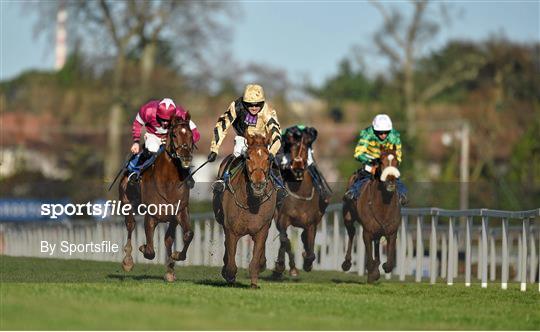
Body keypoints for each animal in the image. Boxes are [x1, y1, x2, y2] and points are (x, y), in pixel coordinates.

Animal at [118, 113, 196, 282]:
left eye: (190, 135)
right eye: (174, 134)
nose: (186, 157)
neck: (169, 183)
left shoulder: (179, 212)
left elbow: (188, 235)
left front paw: (176, 257)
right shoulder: (151, 215)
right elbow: (150, 251)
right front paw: (142, 248)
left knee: (168, 239)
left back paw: (170, 269)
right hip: (126, 202)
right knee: (130, 225)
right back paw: (127, 261)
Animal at [212, 134, 278, 290]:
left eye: (268, 158)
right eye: (248, 157)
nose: (258, 184)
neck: (252, 203)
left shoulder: (262, 229)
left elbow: (256, 257)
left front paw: (254, 281)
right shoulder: (231, 229)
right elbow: (230, 258)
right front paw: (229, 275)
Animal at [272, 127, 326, 278]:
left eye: (307, 146)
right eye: (291, 147)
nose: (297, 168)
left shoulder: (311, 224)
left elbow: (311, 250)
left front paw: (307, 263)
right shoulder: (283, 218)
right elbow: (285, 240)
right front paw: (280, 266)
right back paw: (290, 268)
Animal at [342, 145, 400, 282]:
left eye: (396, 162)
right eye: (382, 162)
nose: (390, 182)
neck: (383, 206)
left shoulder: (392, 231)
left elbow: (389, 263)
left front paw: (382, 266)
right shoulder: (367, 232)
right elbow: (368, 254)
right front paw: (373, 273)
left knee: (377, 241)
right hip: (348, 217)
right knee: (351, 233)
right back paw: (347, 263)